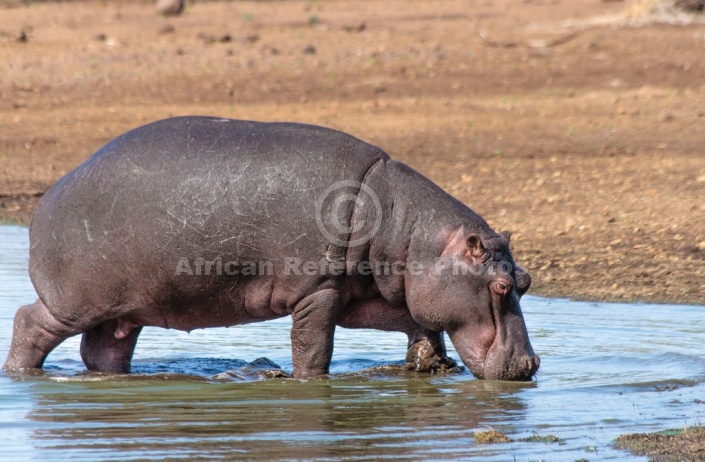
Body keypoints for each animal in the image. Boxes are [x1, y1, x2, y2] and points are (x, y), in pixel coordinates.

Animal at [2, 117, 540, 380]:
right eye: (499, 286)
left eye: (527, 280)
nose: (530, 365)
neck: (410, 234)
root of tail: (49, 194)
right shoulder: (318, 290)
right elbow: (313, 348)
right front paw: (309, 384)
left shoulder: (378, 292)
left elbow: (417, 321)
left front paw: (427, 363)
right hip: (75, 301)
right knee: (30, 322)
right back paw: (20, 375)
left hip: (124, 310)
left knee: (104, 349)